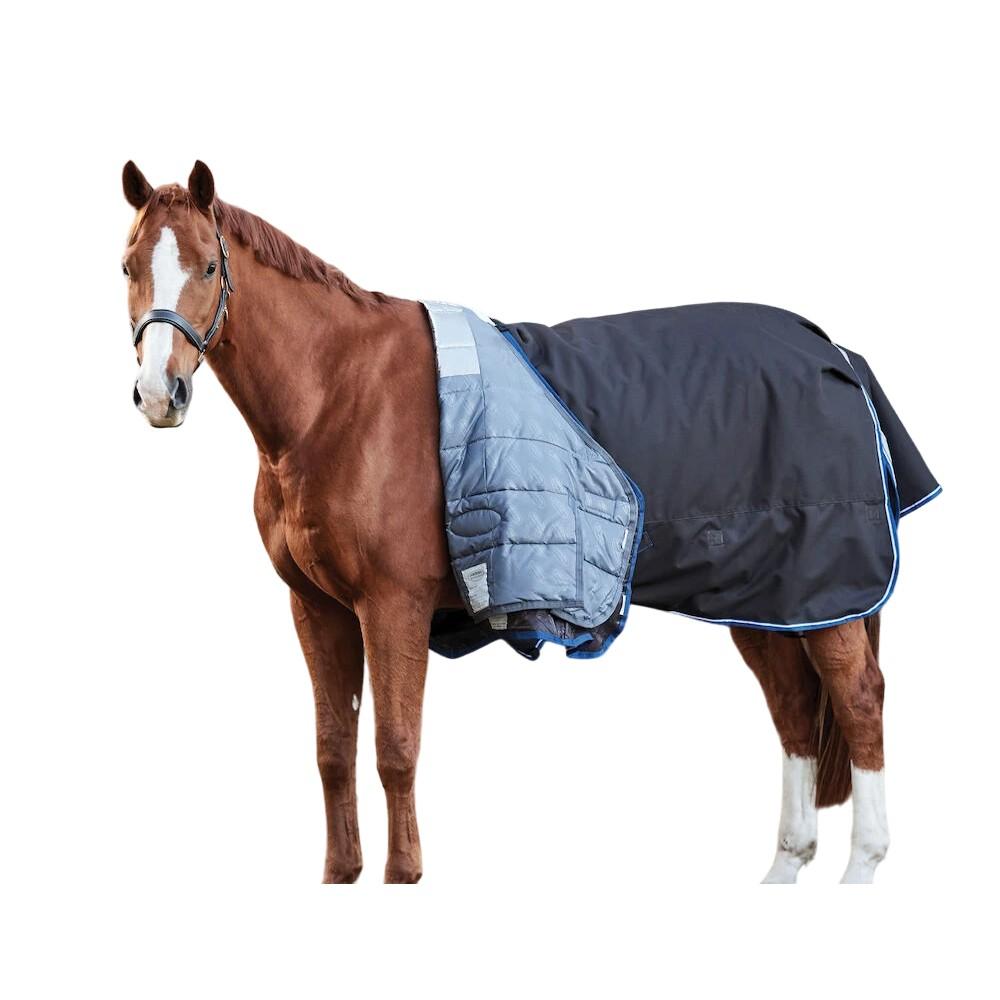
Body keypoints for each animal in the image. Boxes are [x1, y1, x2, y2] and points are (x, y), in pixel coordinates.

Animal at [122, 160, 894, 883]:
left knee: (858, 700)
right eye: (129, 266)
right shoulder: (317, 607)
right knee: (794, 706)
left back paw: (863, 862)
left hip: (823, 590)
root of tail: (830, 350)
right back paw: (787, 863)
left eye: (210, 266)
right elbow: (333, 750)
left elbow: (395, 749)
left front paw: (403, 875)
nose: (161, 394)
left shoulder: (393, 604)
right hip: (766, 598)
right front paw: (341, 874)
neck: (339, 396)